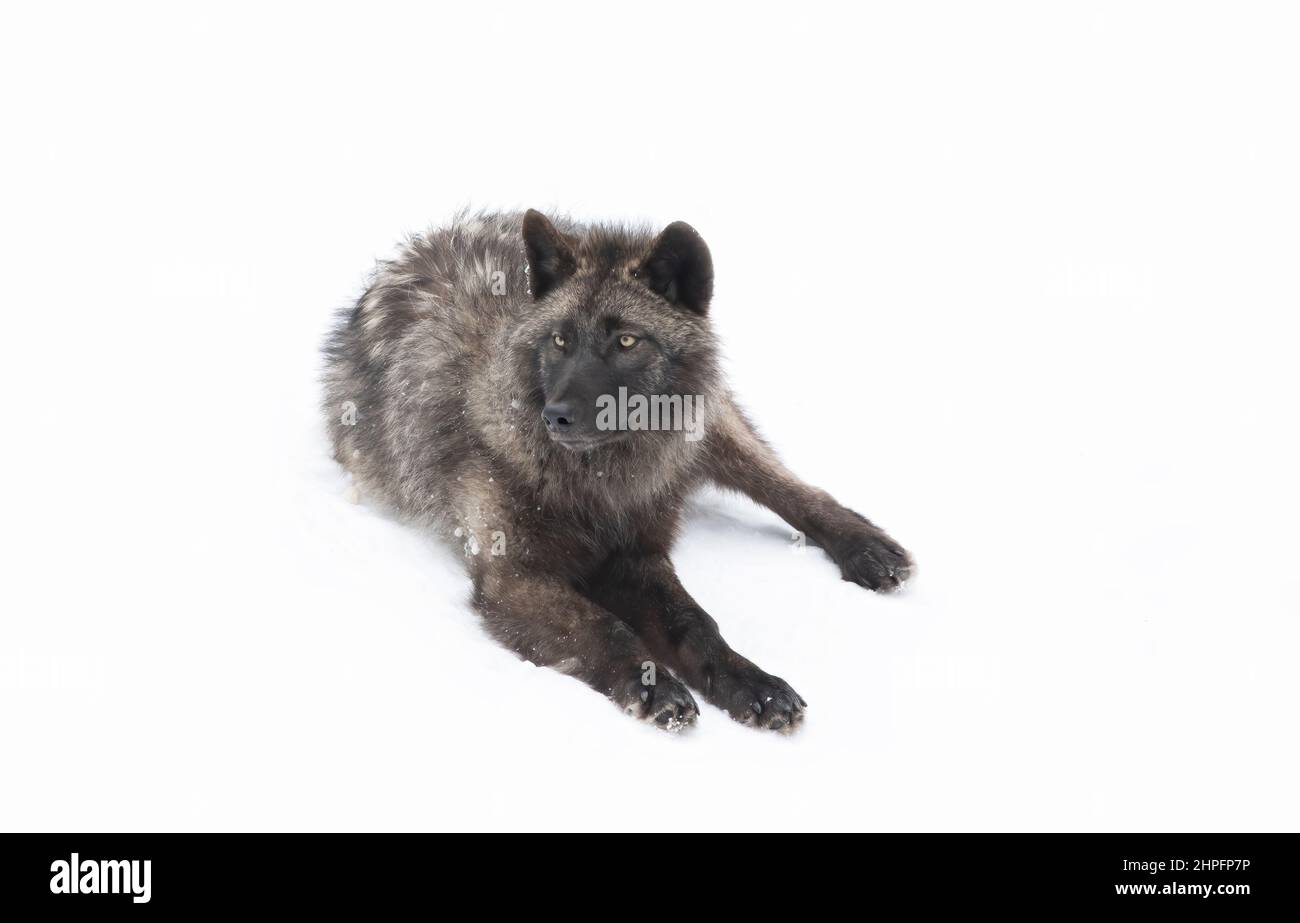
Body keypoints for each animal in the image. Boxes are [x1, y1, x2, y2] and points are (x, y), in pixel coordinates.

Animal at [323, 210, 913, 732]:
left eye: (627, 340)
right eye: (559, 339)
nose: (556, 415)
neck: (599, 483)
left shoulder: (637, 556)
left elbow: (697, 624)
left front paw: (754, 684)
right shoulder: (516, 576)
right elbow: (607, 628)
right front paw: (653, 686)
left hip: (712, 426)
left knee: (791, 486)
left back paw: (867, 549)